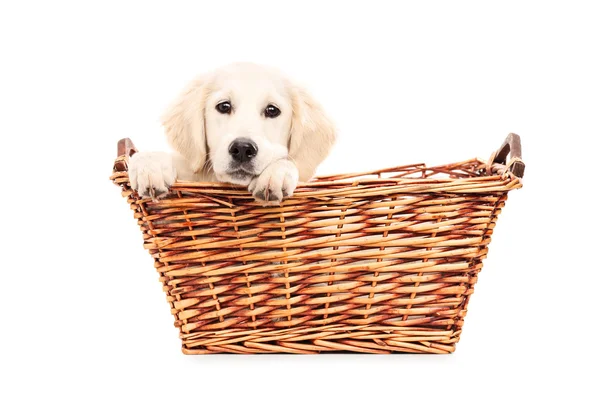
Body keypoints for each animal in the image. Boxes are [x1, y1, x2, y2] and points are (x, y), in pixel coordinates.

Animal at [129, 62, 338, 203]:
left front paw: (275, 173)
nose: (243, 148)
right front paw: (150, 166)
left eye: (272, 110)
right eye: (224, 106)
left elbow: (288, 163)